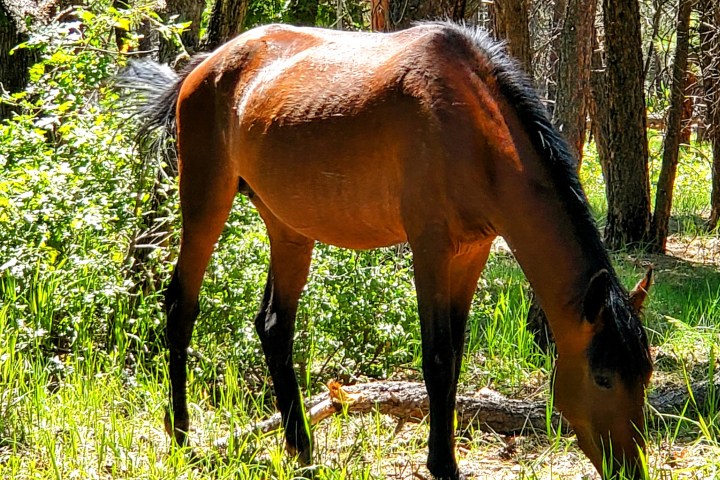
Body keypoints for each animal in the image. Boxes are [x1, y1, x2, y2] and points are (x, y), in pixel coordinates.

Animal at [124, 22, 654, 479]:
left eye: (645, 375)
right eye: (603, 377)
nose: (630, 467)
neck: (475, 130)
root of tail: (203, 66)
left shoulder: (472, 252)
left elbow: (455, 356)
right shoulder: (430, 248)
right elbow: (438, 358)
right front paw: (443, 465)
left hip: (289, 227)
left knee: (274, 326)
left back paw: (302, 448)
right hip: (205, 201)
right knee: (180, 307)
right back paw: (181, 434)